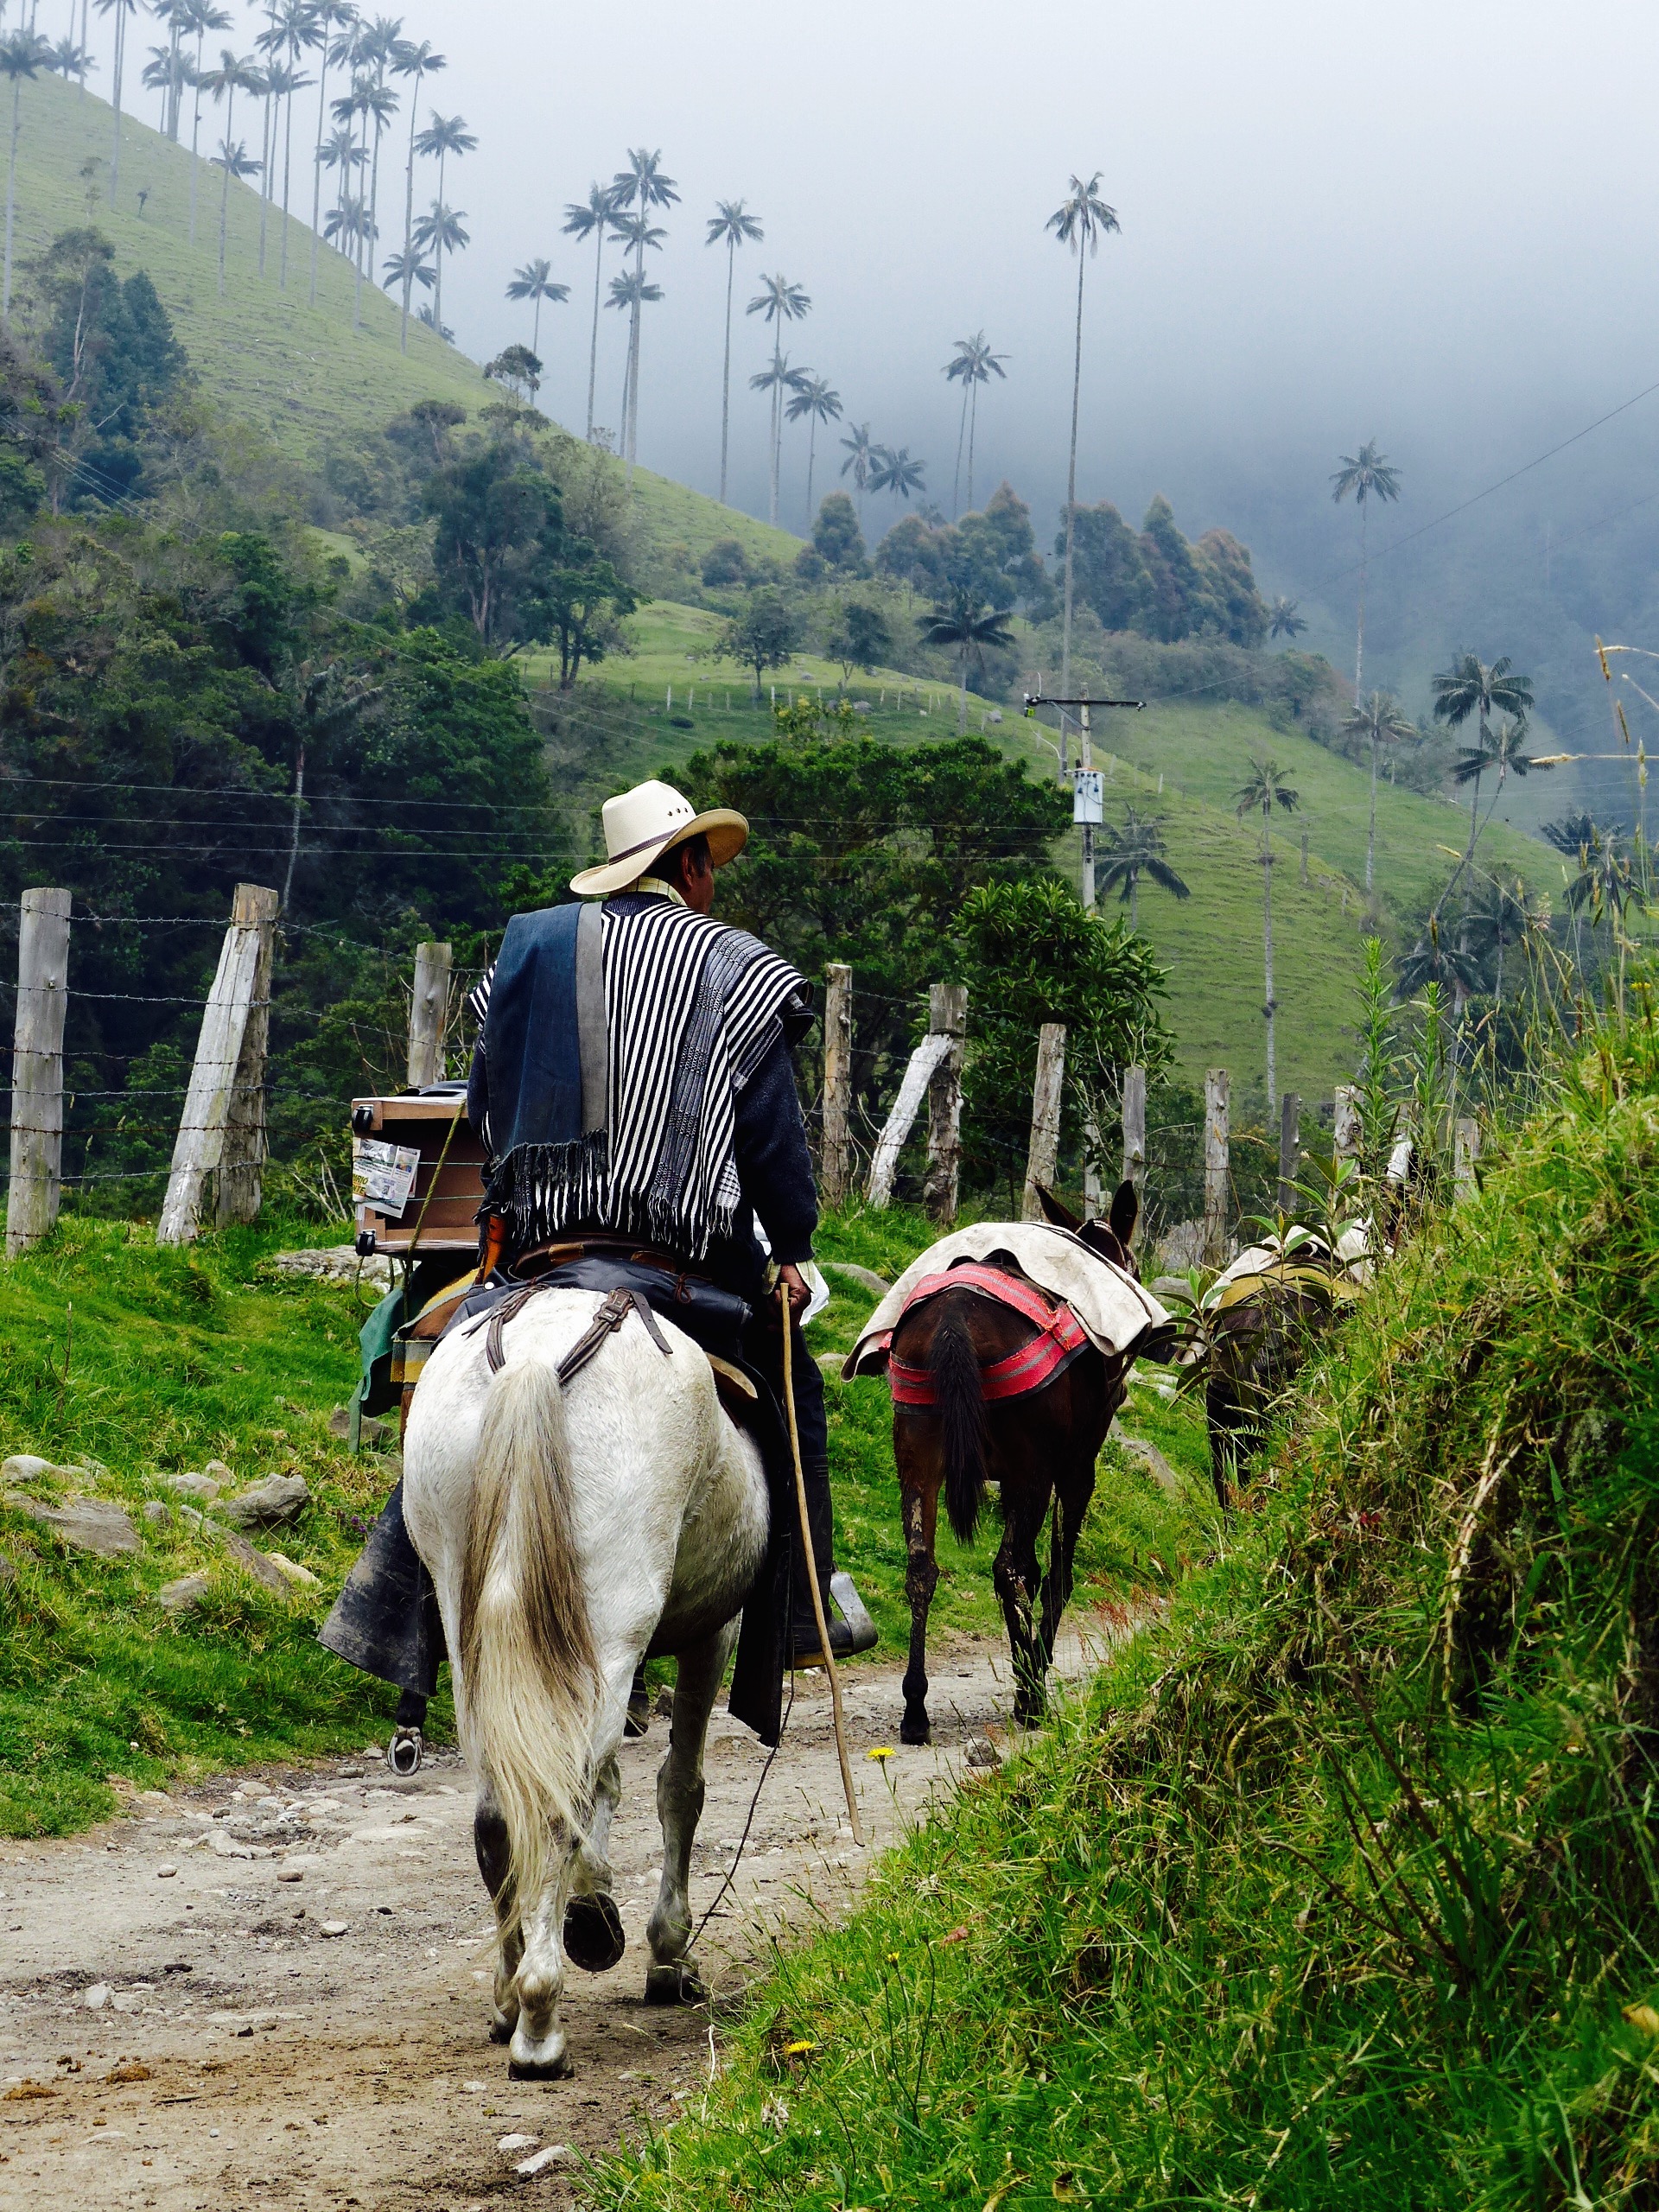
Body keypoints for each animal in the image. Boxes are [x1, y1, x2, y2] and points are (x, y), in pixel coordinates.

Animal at [402, 1292, 774, 2079]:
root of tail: (537, 1353)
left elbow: (604, 1782)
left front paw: (592, 1904)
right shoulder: (713, 1632)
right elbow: (679, 1787)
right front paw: (667, 1955)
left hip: (469, 1622)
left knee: (500, 1809)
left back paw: (508, 1995)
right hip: (612, 1620)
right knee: (552, 1804)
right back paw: (540, 2022)